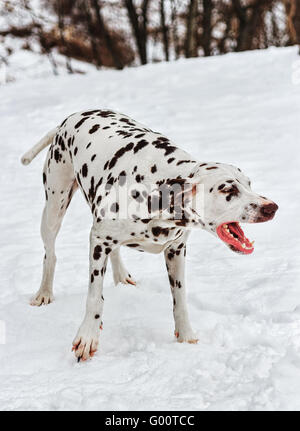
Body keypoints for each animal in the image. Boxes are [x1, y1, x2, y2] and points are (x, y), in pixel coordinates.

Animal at [21, 109, 278, 362]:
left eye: (249, 184)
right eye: (228, 189)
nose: (271, 207)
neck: (155, 189)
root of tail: (70, 118)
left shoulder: (176, 250)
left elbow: (180, 299)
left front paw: (186, 337)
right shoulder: (98, 242)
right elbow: (94, 298)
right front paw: (88, 337)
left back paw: (121, 275)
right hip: (53, 209)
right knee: (50, 254)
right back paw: (44, 292)